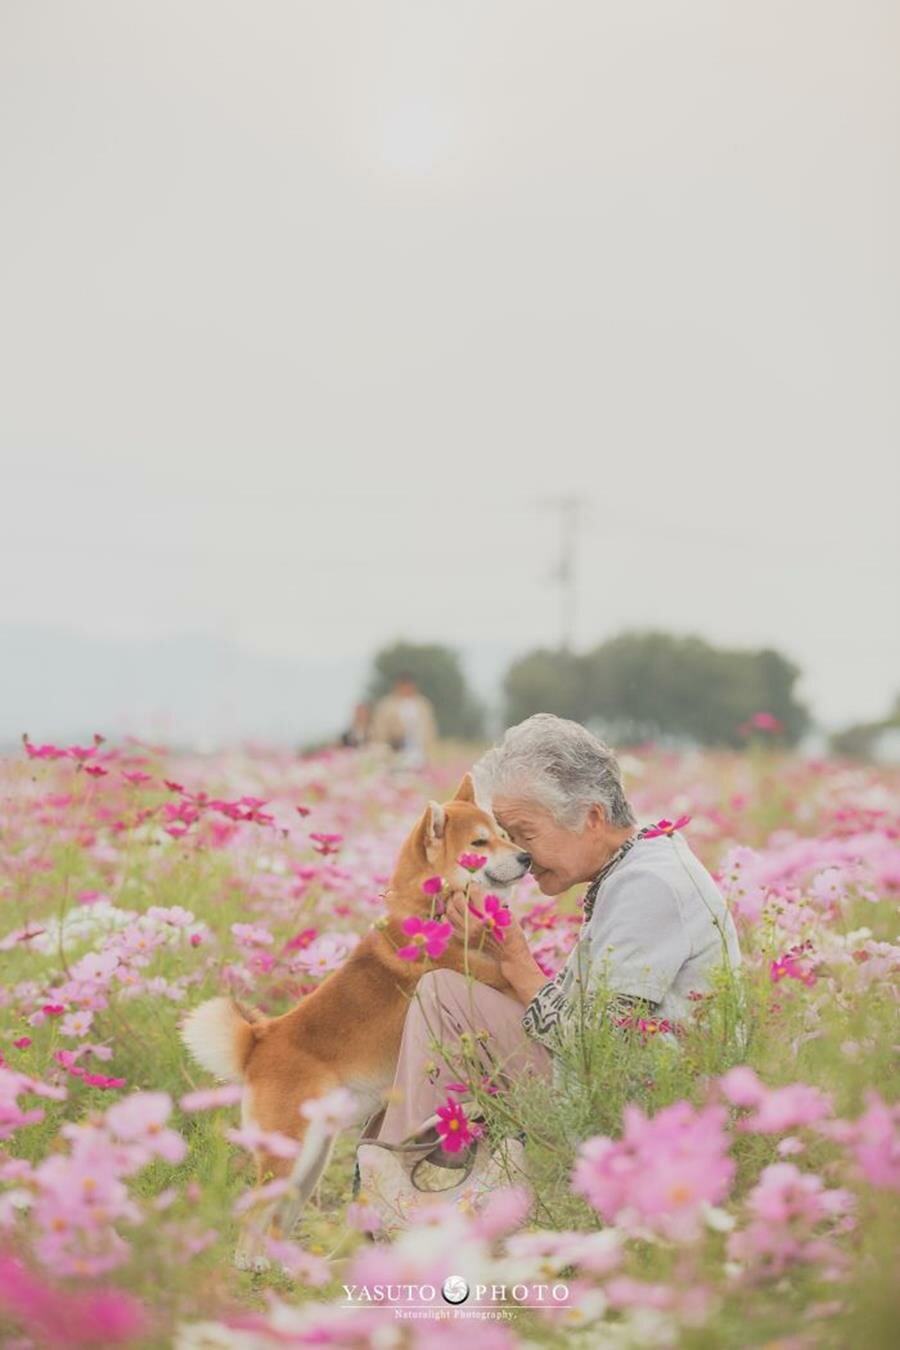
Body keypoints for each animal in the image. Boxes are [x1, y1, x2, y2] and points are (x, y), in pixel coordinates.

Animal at [180, 777, 528, 1269]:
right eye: (480, 844)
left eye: (505, 835)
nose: (527, 858)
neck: (430, 912)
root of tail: (259, 1040)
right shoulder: (491, 979)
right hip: (290, 1151)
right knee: (256, 1209)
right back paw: (251, 1261)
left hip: (312, 1157)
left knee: (280, 1214)